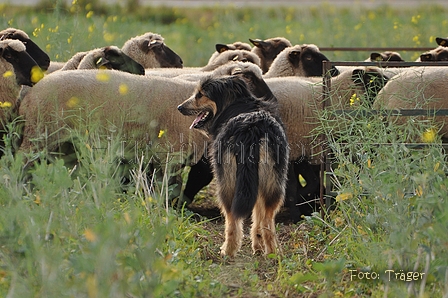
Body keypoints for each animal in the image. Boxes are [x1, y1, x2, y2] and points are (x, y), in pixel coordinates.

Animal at [178, 75, 290, 258]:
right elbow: (257, 219)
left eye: (200, 94)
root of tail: (252, 128)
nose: (179, 107)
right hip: (273, 183)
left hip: (227, 184)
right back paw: (273, 254)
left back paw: (227, 251)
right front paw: (258, 247)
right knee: (267, 222)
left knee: (232, 221)